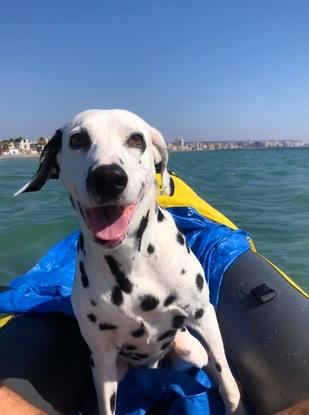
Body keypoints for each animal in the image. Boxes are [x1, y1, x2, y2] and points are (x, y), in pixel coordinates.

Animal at [15, 109, 242, 414]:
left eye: (136, 139)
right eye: (77, 139)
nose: (108, 178)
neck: (131, 261)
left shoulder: (203, 316)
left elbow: (226, 378)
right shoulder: (102, 358)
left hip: (191, 351)